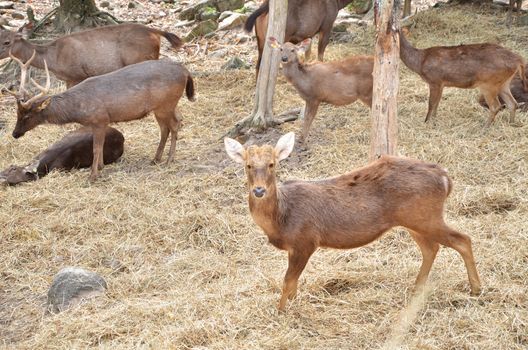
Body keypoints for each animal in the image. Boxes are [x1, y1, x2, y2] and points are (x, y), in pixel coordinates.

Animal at [225, 132, 480, 312]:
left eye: (272, 164)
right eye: (248, 165)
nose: (259, 190)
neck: (282, 218)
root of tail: (445, 178)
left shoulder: (306, 241)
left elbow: (288, 281)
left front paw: (280, 311)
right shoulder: (294, 247)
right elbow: (294, 283)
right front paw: (292, 304)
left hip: (426, 216)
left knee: (463, 239)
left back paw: (476, 289)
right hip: (415, 220)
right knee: (431, 248)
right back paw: (417, 288)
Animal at [400, 30, 528, 126]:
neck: (419, 62)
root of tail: (519, 59)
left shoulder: (434, 80)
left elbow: (431, 103)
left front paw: (426, 122)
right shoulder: (441, 84)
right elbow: (437, 103)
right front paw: (434, 121)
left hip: (489, 83)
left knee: (496, 106)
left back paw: (485, 127)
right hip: (504, 82)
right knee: (513, 103)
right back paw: (511, 124)